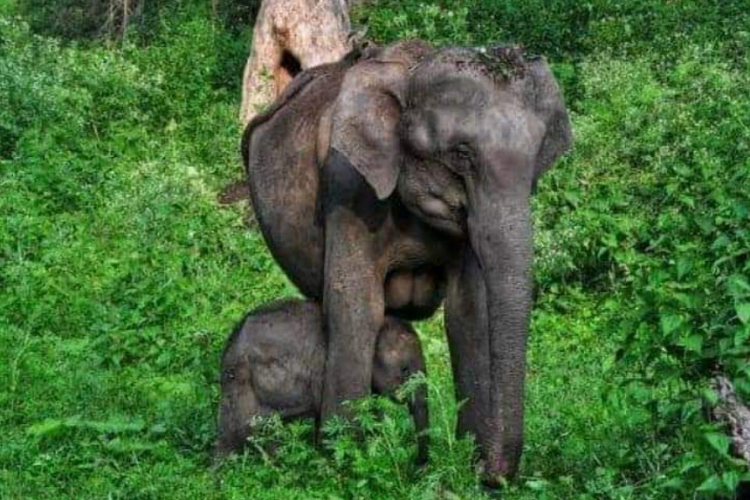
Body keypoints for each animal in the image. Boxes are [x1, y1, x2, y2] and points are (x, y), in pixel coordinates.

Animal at [244, 40, 572, 484]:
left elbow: (467, 312)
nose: (494, 475)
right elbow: (356, 308)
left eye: (538, 155)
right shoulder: (346, 188)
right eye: (462, 153)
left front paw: (467, 468)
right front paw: (344, 467)